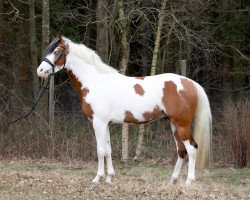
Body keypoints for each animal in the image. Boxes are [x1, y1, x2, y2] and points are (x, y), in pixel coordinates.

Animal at [37, 36, 212, 186]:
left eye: (56, 52)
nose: (40, 71)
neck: (95, 83)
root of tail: (191, 83)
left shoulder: (98, 123)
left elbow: (100, 150)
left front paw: (98, 178)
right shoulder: (105, 124)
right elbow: (108, 150)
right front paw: (109, 177)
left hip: (182, 125)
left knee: (191, 149)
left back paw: (189, 181)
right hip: (174, 125)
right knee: (181, 151)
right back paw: (172, 180)